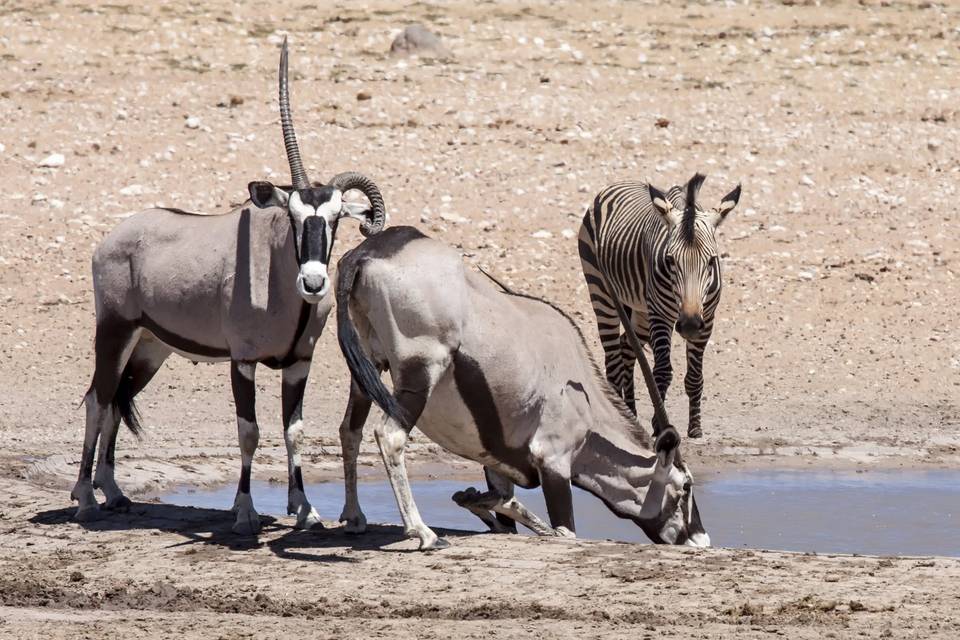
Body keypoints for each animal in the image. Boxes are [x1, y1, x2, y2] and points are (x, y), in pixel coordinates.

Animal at [576, 172, 744, 438]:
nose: (689, 324)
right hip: (601, 290)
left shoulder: (707, 317)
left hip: (640, 311)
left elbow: (694, 376)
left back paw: (631, 413)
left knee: (627, 346)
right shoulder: (660, 315)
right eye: (670, 260)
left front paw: (695, 427)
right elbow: (662, 373)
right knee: (612, 360)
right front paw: (660, 426)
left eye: (711, 261)